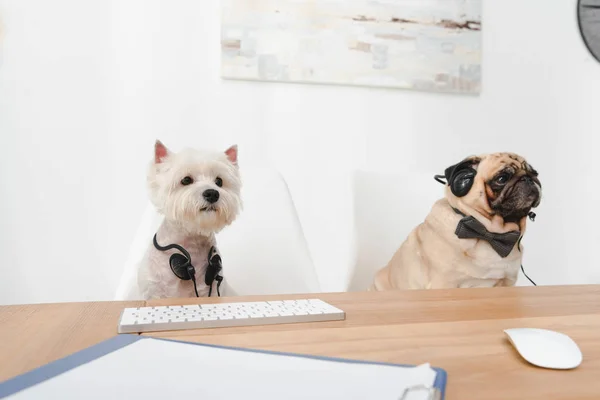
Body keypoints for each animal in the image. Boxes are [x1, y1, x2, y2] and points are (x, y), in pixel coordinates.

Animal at [370, 153, 544, 290]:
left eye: (535, 173)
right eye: (502, 178)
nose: (528, 178)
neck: (487, 232)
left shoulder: (507, 283)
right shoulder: (444, 283)